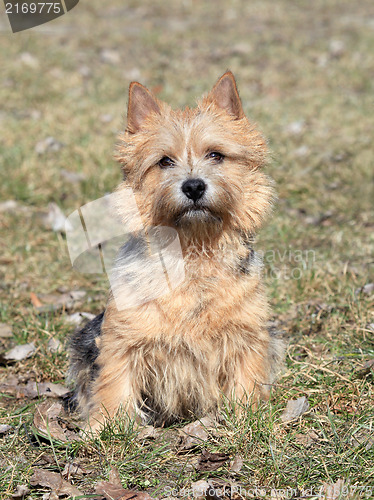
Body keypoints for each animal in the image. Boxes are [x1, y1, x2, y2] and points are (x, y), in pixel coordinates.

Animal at [67, 72, 284, 432]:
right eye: (164, 161)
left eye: (216, 155)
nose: (193, 186)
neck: (194, 248)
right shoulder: (122, 338)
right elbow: (114, 381)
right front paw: (106, 428)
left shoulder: (246, 333)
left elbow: (247, 376)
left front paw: (246, 418)